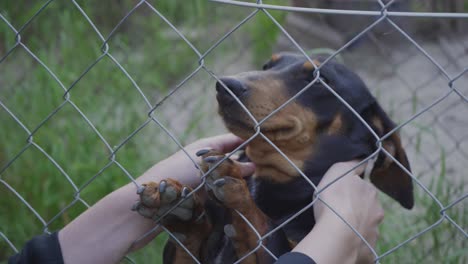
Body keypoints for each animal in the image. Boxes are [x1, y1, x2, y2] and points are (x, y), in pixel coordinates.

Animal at [132, 52, 414, 262]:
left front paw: (234, 183)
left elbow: (264, 229)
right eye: (267, 65)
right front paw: (178, 210)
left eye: (319, 79)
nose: (225, 86)